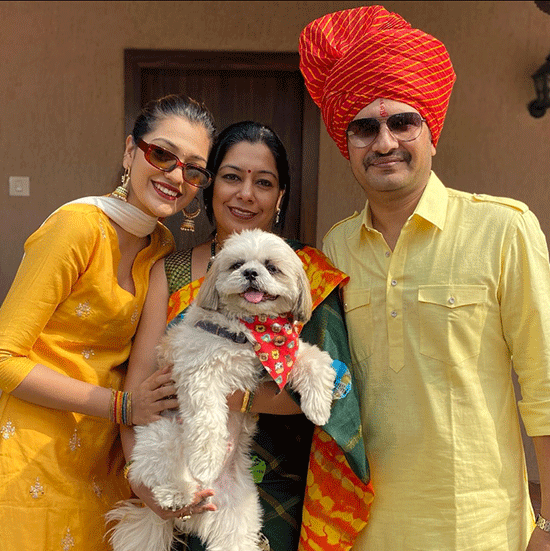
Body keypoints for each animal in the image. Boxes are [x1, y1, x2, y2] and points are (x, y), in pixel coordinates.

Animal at [105, 230, 334, 551]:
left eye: (271, 267)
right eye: (236, 264)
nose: (250, 273)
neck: (250, 329)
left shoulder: (285, 353)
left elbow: (317, 361)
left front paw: (319, 407)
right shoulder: (200, 375)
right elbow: (207, 422)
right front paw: (207, 458)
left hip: (237, 516)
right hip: (162, 437)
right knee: (157, 471)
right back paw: (177, 494)